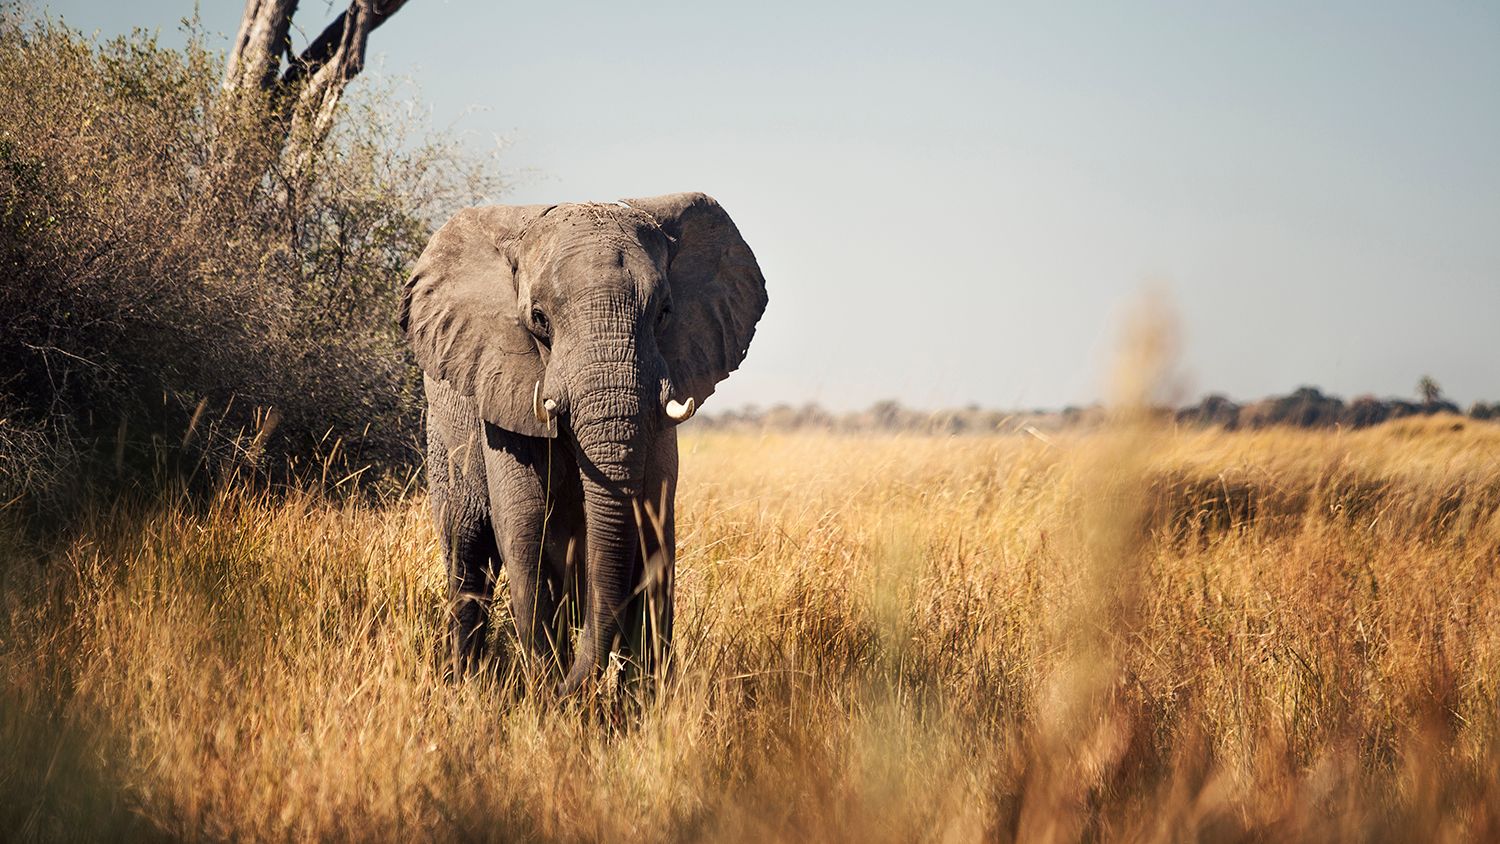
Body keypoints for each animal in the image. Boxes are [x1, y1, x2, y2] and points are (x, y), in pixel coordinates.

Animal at [400, 192, 767, 695]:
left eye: (664, 312)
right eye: (538, 319)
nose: (574, 685)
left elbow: (655, 530)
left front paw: (638, 705)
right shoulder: (502, 397)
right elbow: (525, 528)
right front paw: (546, 691)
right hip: (443, 437)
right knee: (466, 554)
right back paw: (466, 685)